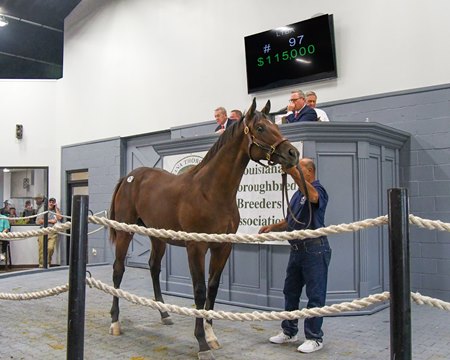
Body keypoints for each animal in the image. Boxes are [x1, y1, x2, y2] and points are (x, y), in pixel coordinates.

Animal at [108, 98, 298, 360]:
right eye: (260, 128)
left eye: (275, 125)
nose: (293, 153)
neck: (211, 192)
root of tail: (130, 176)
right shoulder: (196, 247)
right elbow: (198, 290)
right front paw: (201, 342)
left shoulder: (223, 247)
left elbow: (213, 287)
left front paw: (211, 334)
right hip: (125, 233)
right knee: (118, 270)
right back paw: (115, 322)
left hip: (158, 237)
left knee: (154, 268)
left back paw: (164, 314)